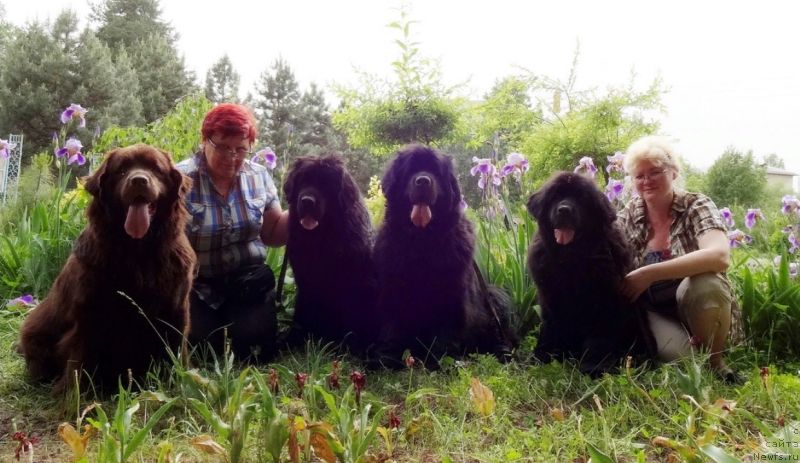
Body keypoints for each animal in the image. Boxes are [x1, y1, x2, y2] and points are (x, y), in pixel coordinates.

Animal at [18, 145, 195, 396]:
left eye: (155, 169)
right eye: (121, 171)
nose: (138, 180)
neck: (138, 251)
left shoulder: (176, 307)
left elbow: (177, 347)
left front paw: (183, 379)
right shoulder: (89, 310)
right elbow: (80, 357)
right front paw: (73, 395)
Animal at [282, 154, 380, 354]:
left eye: (325, 185)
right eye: (302, 181)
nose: (307, 201)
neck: (321, 239)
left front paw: (354, 347)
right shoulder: (306, 283)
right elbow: (301, 315)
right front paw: (293, 341)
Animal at [368, 145, 516, 370]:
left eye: (435, 171)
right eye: (411, 170)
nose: (423, 181)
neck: (422, 240)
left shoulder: (451, 290)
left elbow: (446, 327)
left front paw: (441, 360)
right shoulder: (392, 285)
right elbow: (391, 323)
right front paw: (384, 358)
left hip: (494, 295)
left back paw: (501, 351)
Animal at [524, 170, 656, 376]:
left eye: (581, 198)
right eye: (555, 196)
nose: (564, 210)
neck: (571, 258)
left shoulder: (603, 300)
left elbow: (598, 335)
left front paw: (594, 366)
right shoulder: (550, 298)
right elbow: (549, 328)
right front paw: (541, 358)